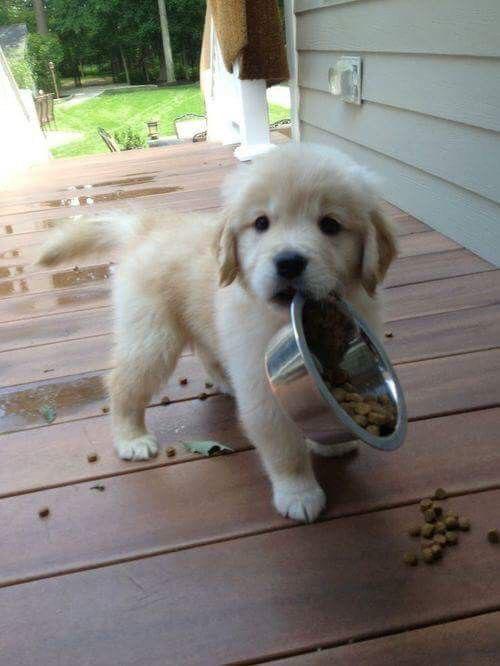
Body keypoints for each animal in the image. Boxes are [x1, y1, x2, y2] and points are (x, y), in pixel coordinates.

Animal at [39, 143, 396, 520]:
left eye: (330, 224)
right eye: (261, 223)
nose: (288, 262)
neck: (278, 317)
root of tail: (148, 225)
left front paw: (332, 441)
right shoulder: (261, 388)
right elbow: (284, 447)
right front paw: (298, 492)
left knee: (207, 352)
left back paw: (223, 380)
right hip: (153, 336)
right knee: (122, 383)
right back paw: (131, 437)